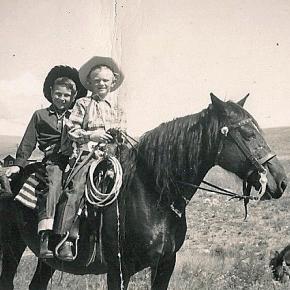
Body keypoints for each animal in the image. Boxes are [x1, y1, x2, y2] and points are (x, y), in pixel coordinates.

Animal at [0, 94, 286, 288]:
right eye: (247, 133)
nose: (281, 181)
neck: (153, 194)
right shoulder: (119, 270)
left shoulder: (165, 265)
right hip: (12, 246)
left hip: (45, 258)